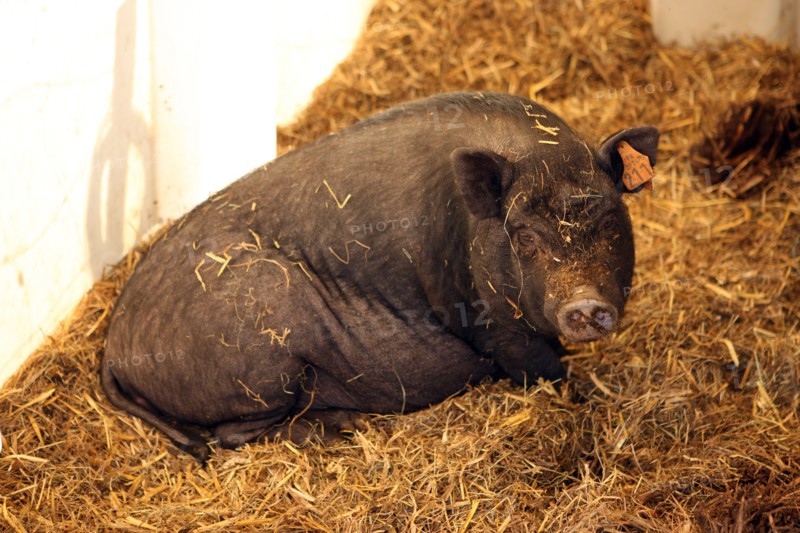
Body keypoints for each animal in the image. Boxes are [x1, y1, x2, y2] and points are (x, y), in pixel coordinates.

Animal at [102, 92, 658, 461]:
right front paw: (584, 396)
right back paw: (340, 427)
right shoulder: (495, 325)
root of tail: (113, 347)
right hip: (264, 348)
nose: (583, 303)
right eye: (523, 236)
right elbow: (546, 369)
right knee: (229, 435)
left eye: (612, 219)